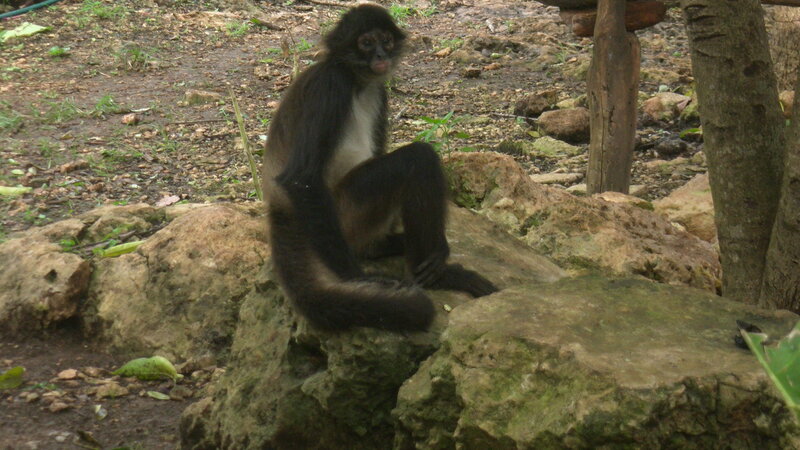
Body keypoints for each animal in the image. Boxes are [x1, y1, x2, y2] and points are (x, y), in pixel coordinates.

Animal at [262, 4, 497, 332]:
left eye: (385, 40)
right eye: (366, 43)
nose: (380, 56)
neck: (356, 82)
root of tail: (281, 211)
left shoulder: (378, 90)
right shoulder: (330, 85)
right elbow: (300, 178)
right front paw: (357, 277)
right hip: (345, 213)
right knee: (419, 158)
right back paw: (437, 275)